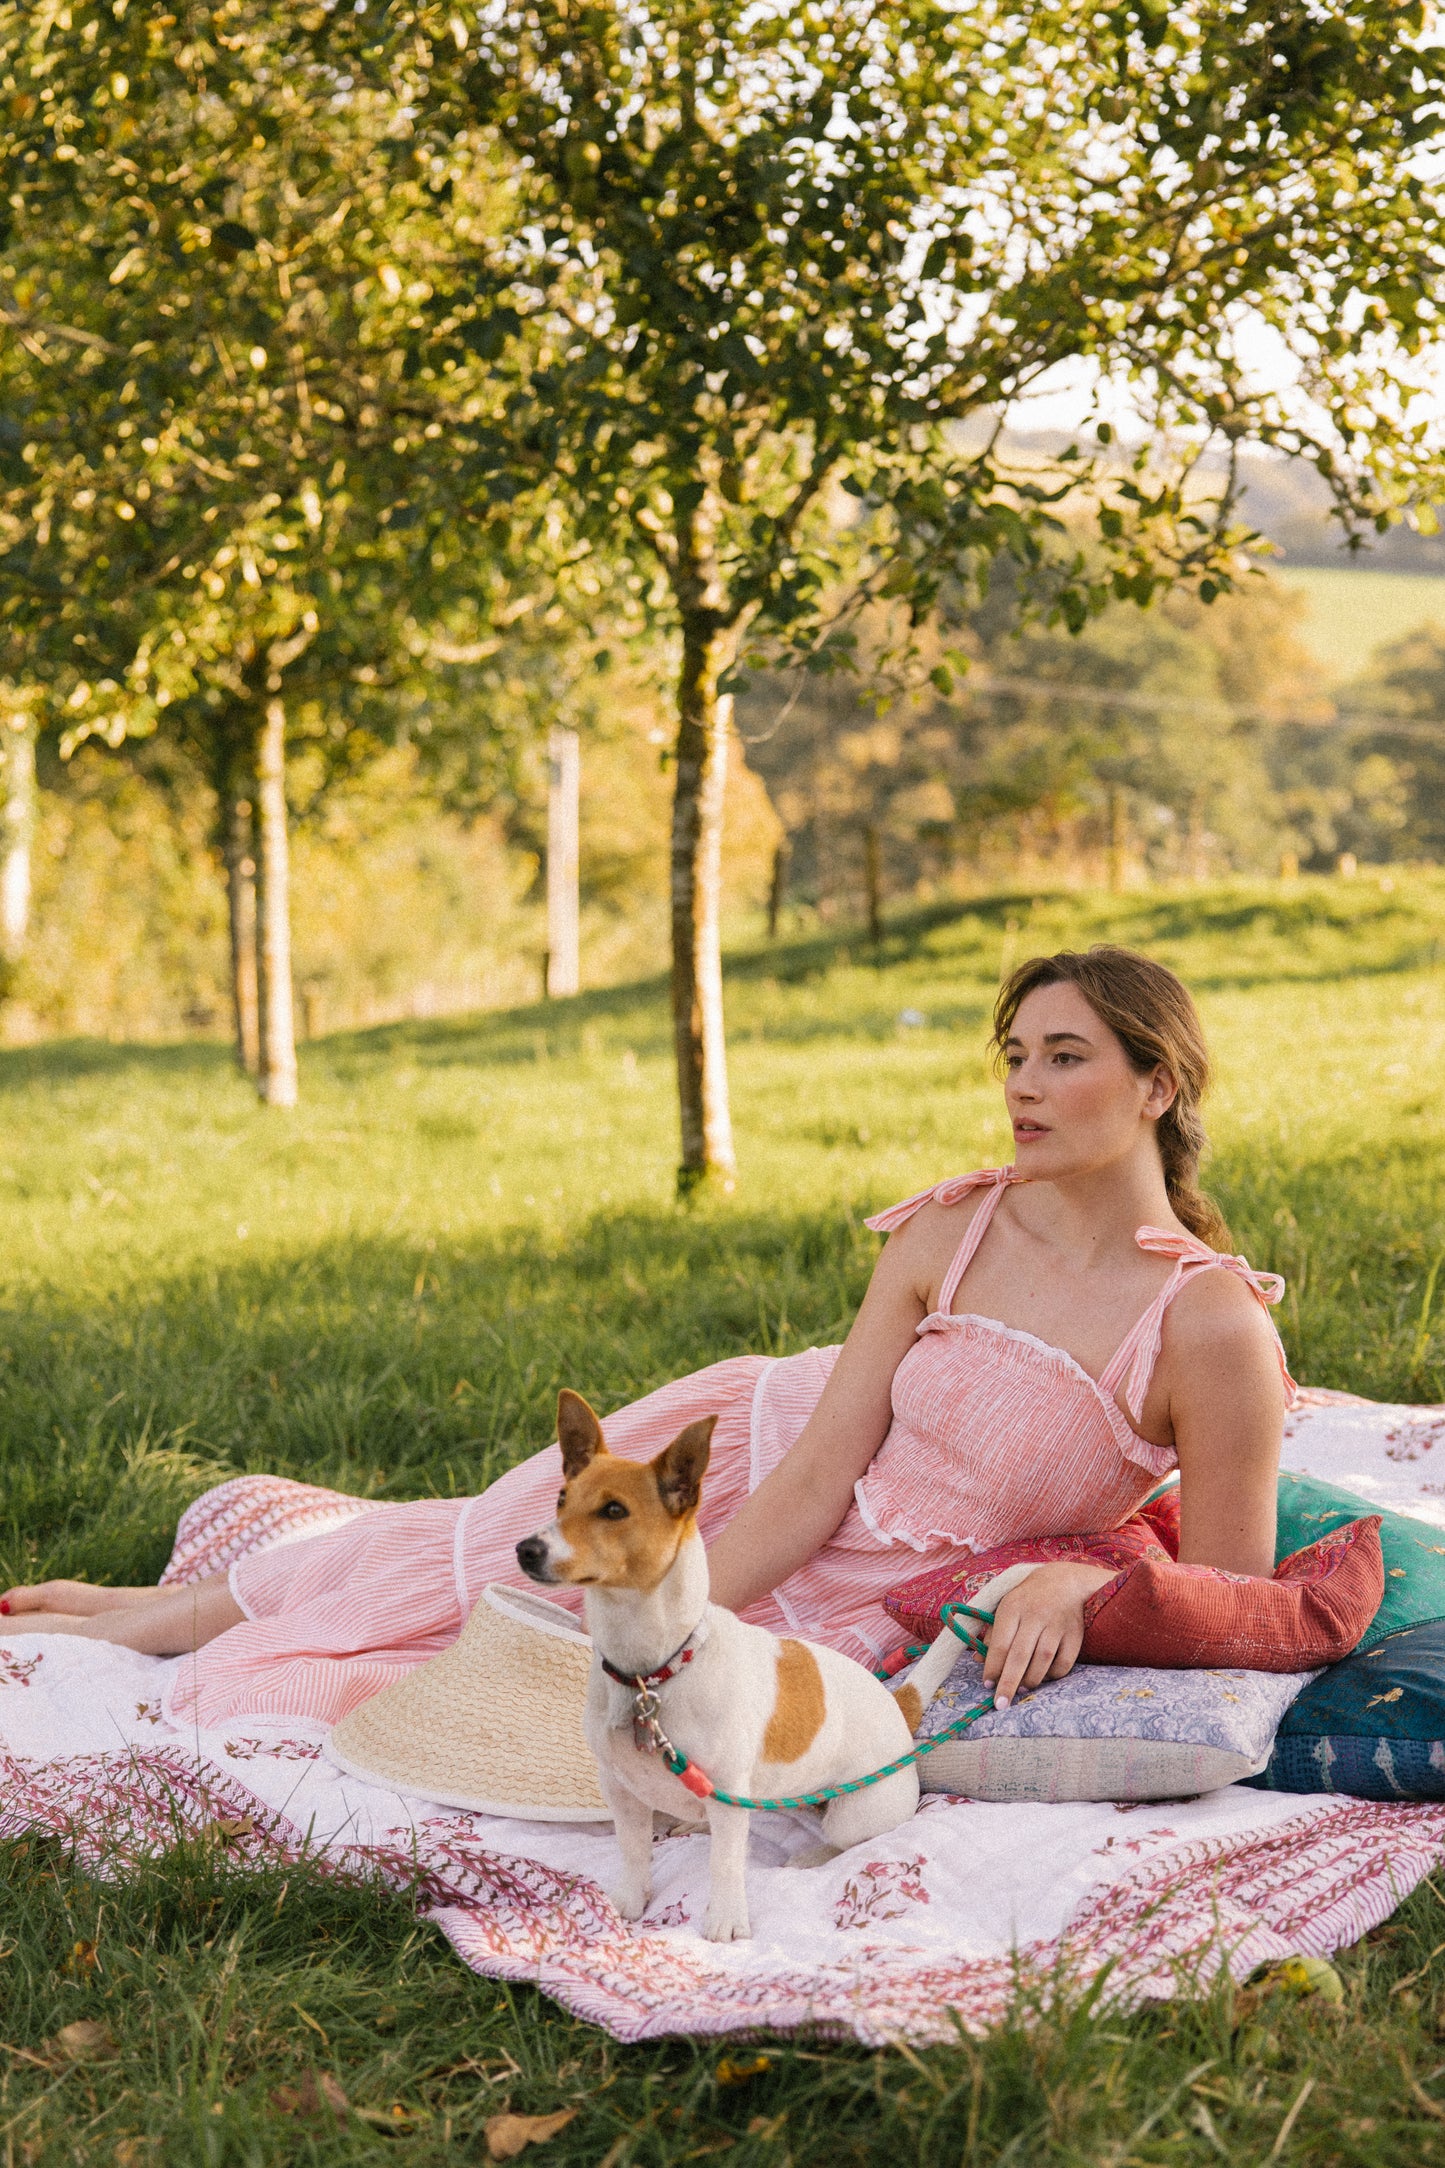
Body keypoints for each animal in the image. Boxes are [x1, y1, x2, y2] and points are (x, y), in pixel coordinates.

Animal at [519, 1387, 927, 1951]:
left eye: (614, 1510)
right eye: (560, 1500)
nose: (525, 1549)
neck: (653, 1671)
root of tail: (897, 1706)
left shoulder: (729, 1795)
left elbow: (726, 1866)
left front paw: (726, 1920)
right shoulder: (620, 1789)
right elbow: (633, 1851)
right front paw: (627, 1902)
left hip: (854, 1811)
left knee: (848, 1840)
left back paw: (811, 1854)